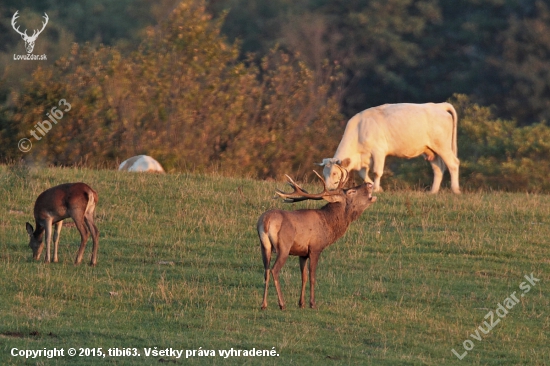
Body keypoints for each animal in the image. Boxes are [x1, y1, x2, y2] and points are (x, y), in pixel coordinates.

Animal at [258, 167, 376, 310]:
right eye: (351, 191)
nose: (369, 184)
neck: (328, 225)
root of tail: (266, 221)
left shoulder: (302, 253)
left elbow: (303, 276)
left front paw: (301, 303)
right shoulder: (315, 248)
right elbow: (312, 276)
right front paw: (312, 303)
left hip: (264, 247)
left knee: (266, 271)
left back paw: (264, 304)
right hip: (284, 247)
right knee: (274, 270)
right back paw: (282, 304)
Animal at [320, 102, 462, 194]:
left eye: (334, 173)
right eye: (324, 173)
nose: (329, 189)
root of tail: (437, 105)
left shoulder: (378, 151)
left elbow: (377, 172)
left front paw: (376, 189)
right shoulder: (363, 158)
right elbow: (363, 173)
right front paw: (376, 187)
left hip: (442, 146)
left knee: (453, 164)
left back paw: (455, 189)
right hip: (430, 150)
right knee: (438, 169)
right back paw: (433, 191)